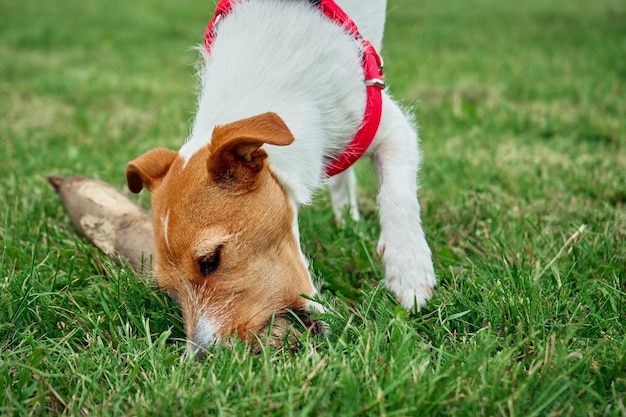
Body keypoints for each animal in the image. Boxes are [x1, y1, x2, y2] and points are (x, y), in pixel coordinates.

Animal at [124, 0, 432, 352]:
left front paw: (409, 271)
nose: (200, 357)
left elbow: (397, 196)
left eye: (211, 259)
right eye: (169, 290)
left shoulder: (390, 127)